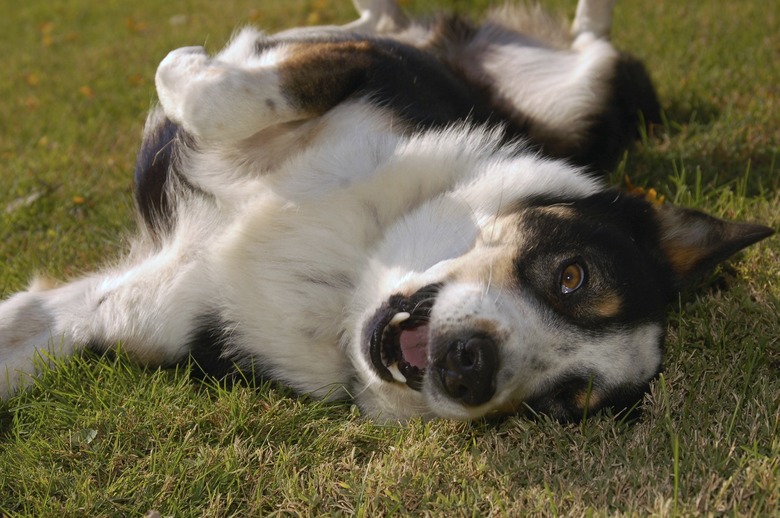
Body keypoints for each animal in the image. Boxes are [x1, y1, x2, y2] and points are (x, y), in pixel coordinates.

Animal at [0, 0, 772, 422]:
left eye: (560, 401)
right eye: (572, 275)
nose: (470, 368)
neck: (354, 263)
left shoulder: (117, 308)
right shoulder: (361, 69)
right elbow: (215, 93)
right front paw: (191, 62)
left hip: (584, 100)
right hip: (575, 98)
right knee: (584, 40)